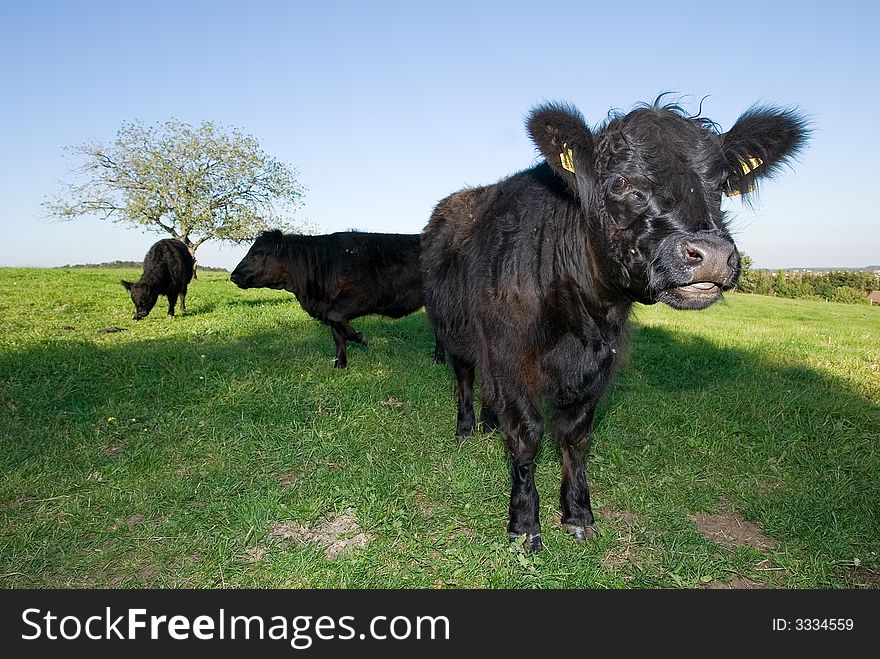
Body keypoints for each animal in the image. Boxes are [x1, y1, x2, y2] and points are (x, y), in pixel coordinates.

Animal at [230, 229, 444, 368]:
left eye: (257, 254)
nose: (233, 276)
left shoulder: (358, 297)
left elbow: (337, 320)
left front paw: (360, 337)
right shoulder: (331, 305)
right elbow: (337, 334)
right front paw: (340, 364)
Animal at [422, 96, 808, 552]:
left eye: (721, 182)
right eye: (620, 182)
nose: (711, 254)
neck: (579, 318)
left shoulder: (599, 365)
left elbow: (576, 436)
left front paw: (577, 514)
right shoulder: (510, 357)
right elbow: (527, 436)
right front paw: (524, 523)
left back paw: (487, 421)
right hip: (455, 329)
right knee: (465, 376)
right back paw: (467, 428)